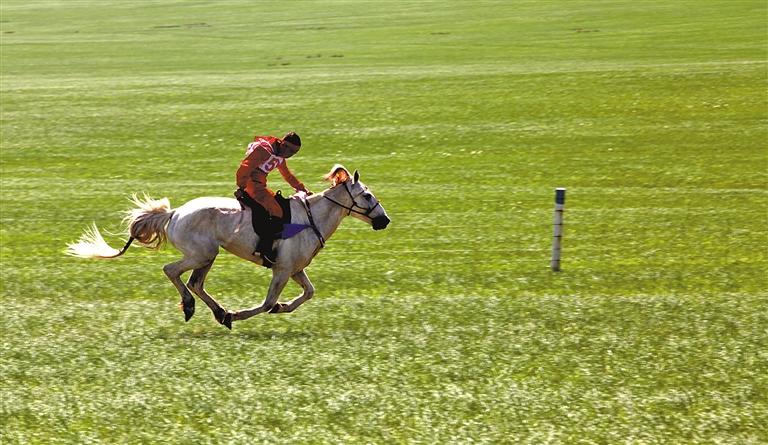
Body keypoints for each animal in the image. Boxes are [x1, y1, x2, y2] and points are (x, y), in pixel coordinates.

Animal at [66, 165, 390, 328]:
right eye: (367, 195)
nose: (385, 220)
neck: (312, 219)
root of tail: (175, 213)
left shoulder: (295, 269)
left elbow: (308, 293)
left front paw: (282, 307)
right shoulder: (282, 270)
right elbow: (268, 302)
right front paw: (242, 314)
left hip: (207, 256)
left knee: (195, 283)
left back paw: (218, 312)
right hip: (201, 254)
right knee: (172, 270)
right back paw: (197, 308)